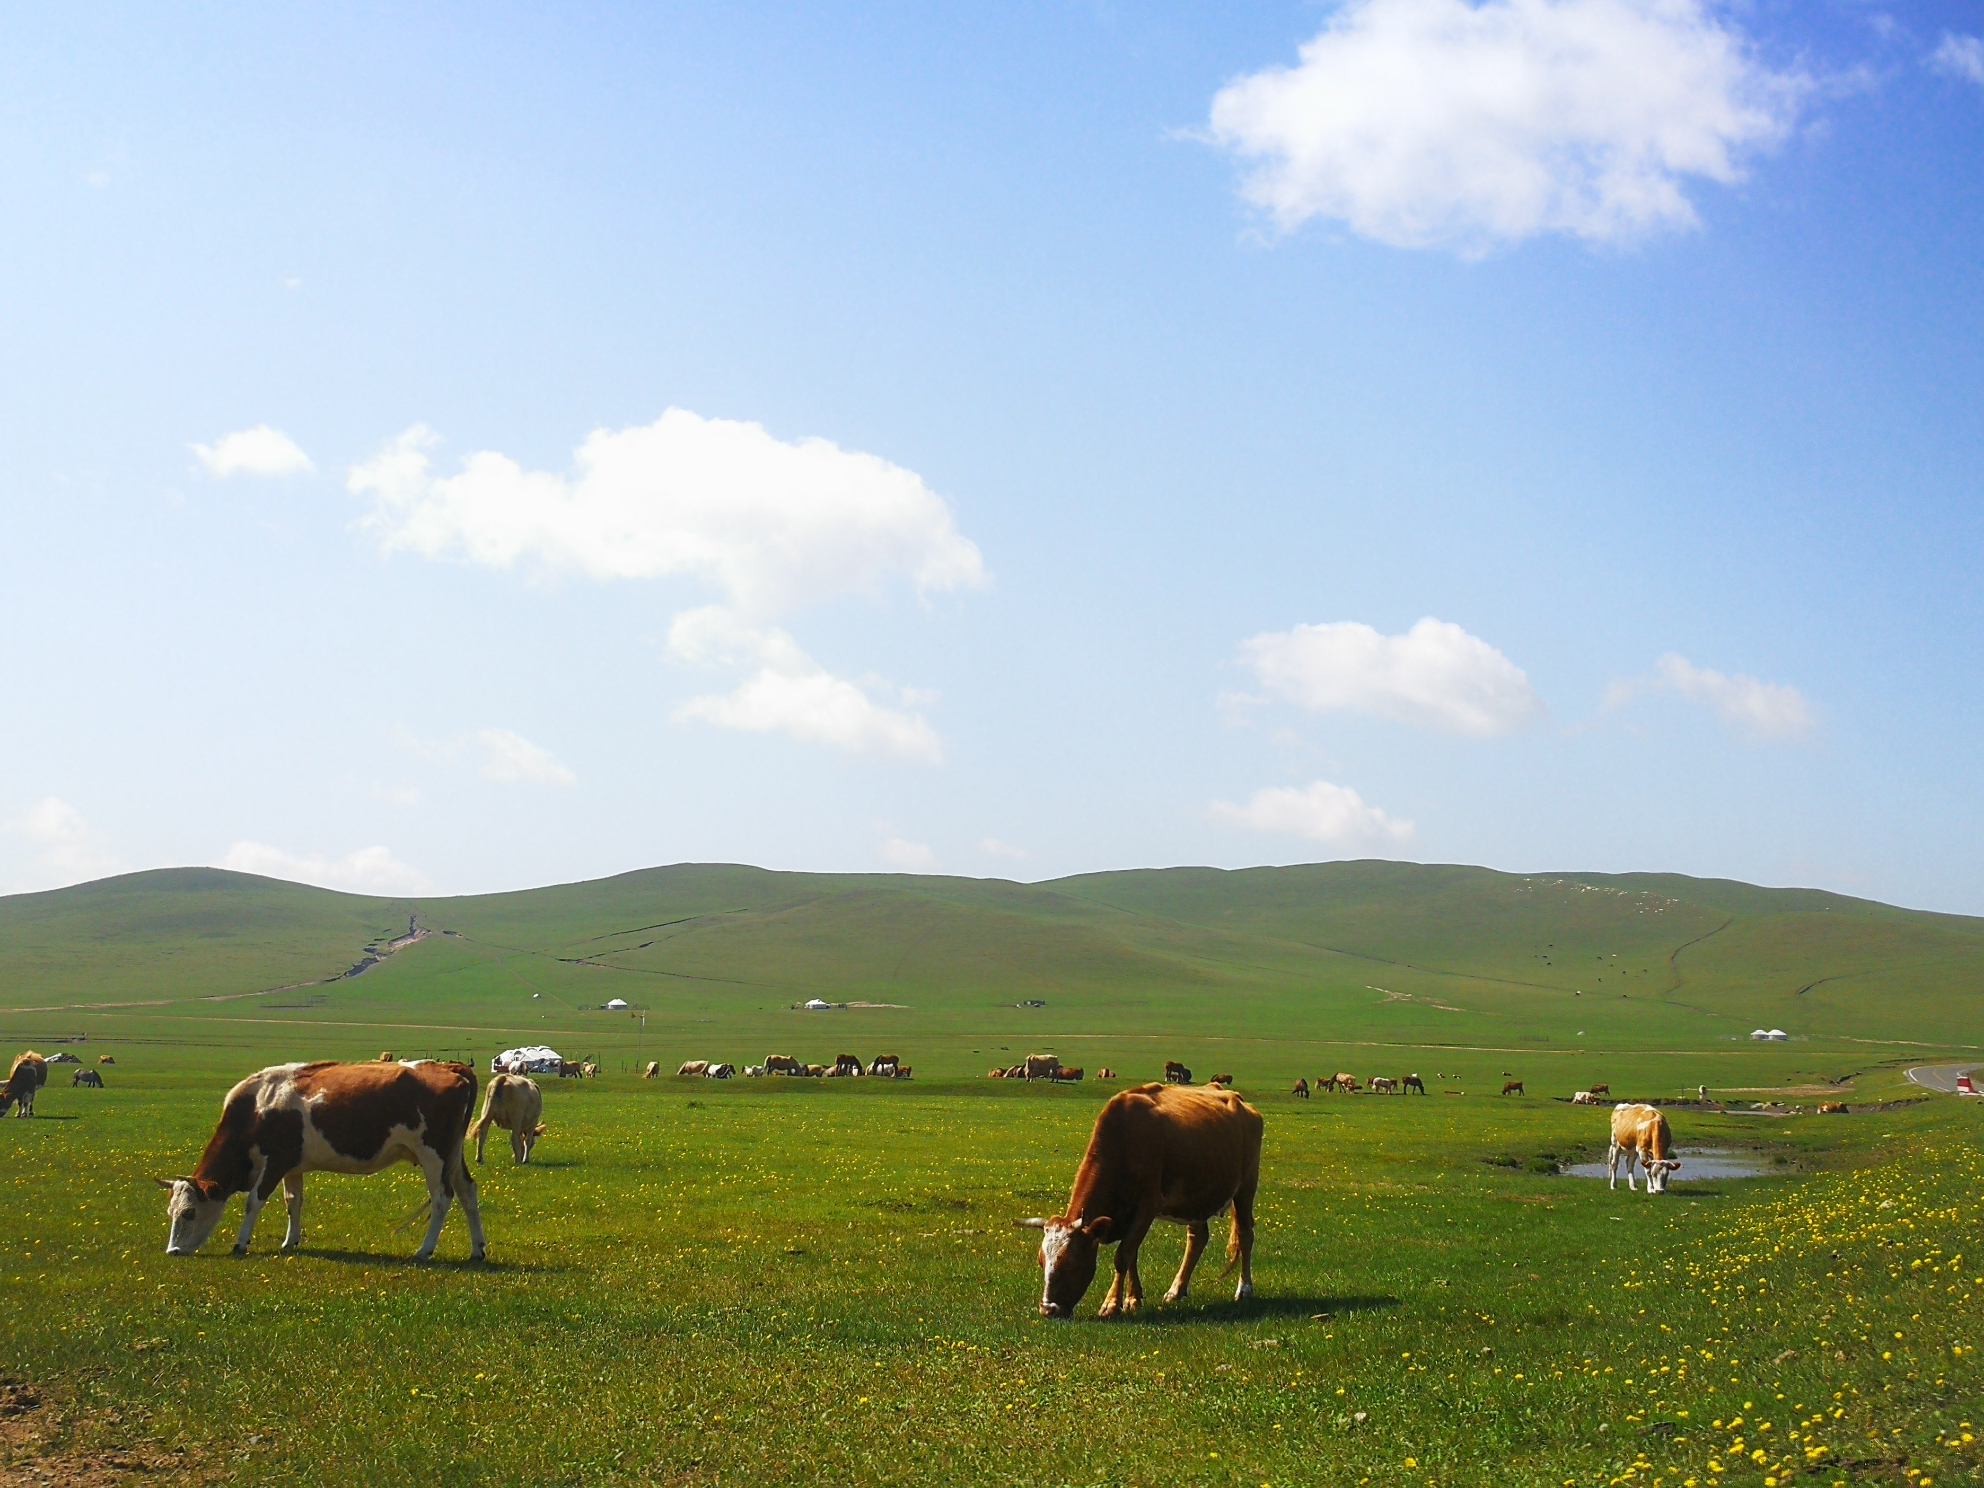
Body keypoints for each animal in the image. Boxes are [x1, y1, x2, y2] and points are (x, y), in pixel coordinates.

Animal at [154, 1063, 488, 1261]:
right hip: (452, 1156)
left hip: (434, 1155)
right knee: (467, 1192)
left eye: (189, 1212)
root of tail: (449, 1067)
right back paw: (477, 1249)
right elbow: (293, 1201)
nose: (172, 1250)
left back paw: (424, 1249)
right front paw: (290, 1241)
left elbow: (254, 1201)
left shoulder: (276, 1162)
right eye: (170, 1211)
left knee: (442, 1198)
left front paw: (241, 1243)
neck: (257, 1107)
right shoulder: (292, 1167)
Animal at [1015, 1087, 1261, 1325]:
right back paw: (1176, 1290)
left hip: (1246, 1186)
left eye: (1072, 1262)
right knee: (1197, 1238)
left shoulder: (1147, 1207)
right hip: (1196, 1200)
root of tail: (1239, 1100)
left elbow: (1123, 1255)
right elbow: (1132, 1253)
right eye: (1041, 1260)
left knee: (1245, 1234)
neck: (1124, 1140)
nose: (1048, 1310)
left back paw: (1244, 1290)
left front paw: (1111, 1305)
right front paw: (1133, 1298)